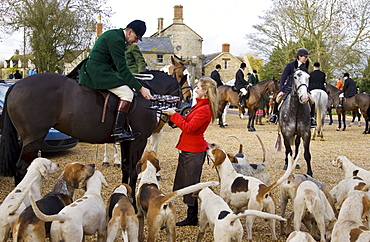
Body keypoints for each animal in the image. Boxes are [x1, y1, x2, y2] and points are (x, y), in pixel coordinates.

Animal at [0, 71, 182, 191]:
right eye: (182, 89)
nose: (174, 121)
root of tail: (16, 85)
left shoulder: (127, 141)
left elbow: (125, 168)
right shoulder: (139, 140)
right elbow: (132, 170)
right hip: (33, 139)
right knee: (22, 168)